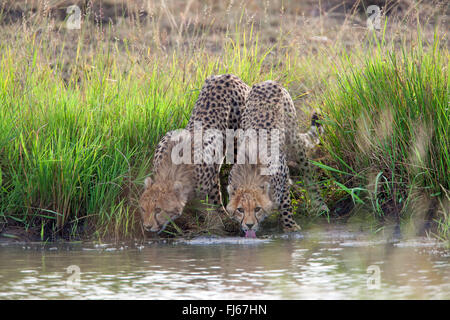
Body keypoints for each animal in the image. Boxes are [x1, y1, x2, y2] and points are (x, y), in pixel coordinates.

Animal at [139, 74, 250, 234]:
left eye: (158, 210)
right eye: (143, 209)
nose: (147, 227)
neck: (171, 170)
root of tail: (228, 75)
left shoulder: (211, 180)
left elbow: (215, 202)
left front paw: (225, 218)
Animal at [225, 80, 326, 235]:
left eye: (257, 209)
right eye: (240, 210)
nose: (249, 225)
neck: (250, 177)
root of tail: (267, 82)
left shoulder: (283, 172)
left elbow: (286, 204)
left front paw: (290, 226)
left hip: (293, 138)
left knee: (307, 169)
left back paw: (319, 203)